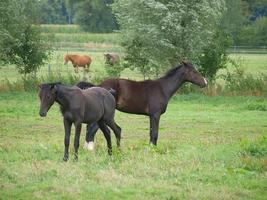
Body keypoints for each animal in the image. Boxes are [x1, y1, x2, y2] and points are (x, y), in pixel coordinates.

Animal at [78, 60, 208, 149]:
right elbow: (155, 133)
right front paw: (153, 149)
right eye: (194, 71)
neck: (162, 88)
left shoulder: (151, 116)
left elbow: (151, 133)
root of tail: (98, 86)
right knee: (92, 128)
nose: (205, 83)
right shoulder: (155, 114)